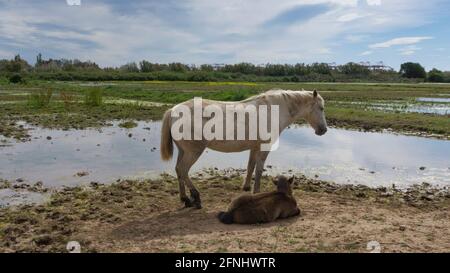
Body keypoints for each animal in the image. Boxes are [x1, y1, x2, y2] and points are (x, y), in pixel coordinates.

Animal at [160, 88, 326, 207]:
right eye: (321, 108)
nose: (323, 130)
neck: (272, 110)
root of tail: (173, 110)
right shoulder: (264, 147)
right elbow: (259, 169)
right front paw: (256, 191)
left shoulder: (254, 147)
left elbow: (250, 166)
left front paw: (246, 188)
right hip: (193, 152)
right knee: (183, 170)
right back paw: (195, 197)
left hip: (183, 151)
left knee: (178, 170)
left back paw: (185, 199)